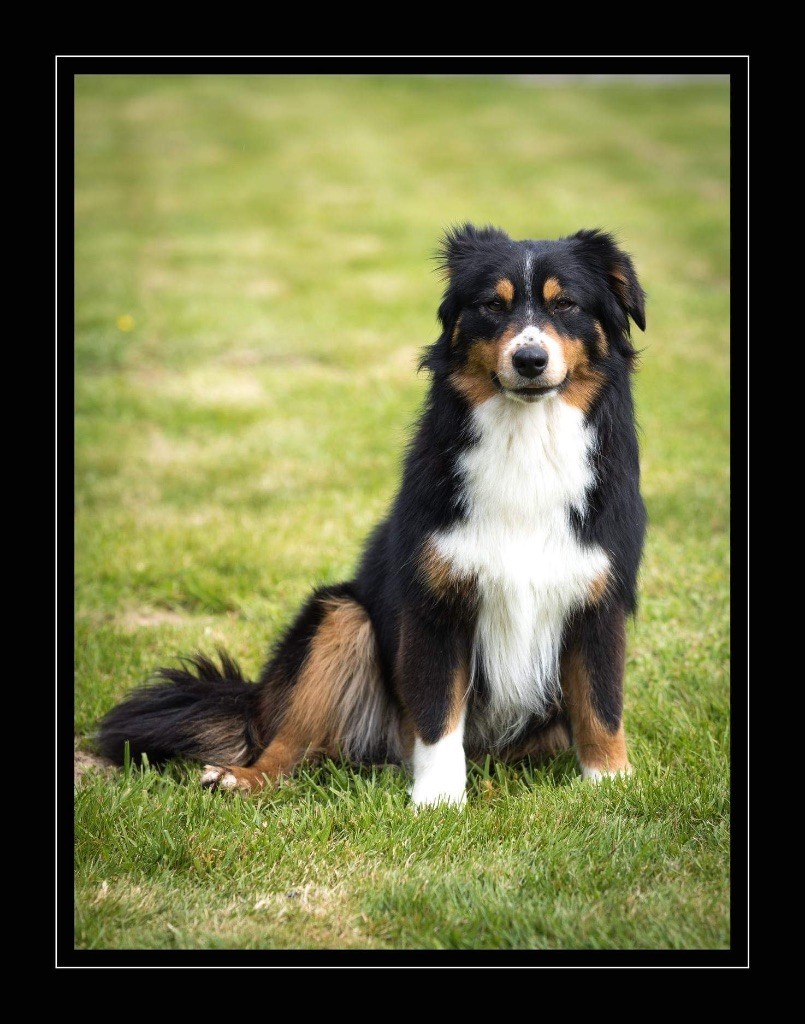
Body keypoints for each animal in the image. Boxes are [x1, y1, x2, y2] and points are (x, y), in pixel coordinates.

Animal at [95, 226, 647, 806]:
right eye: (492, 306)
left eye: (566, 305)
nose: (530, 360)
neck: (527, 442)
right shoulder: (436, 601)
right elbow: (437, 713)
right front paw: (439, 802)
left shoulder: (597, 597)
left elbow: (602, 707)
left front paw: (611, 783)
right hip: (340, 617)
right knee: (286, 742)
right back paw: (239, 777)